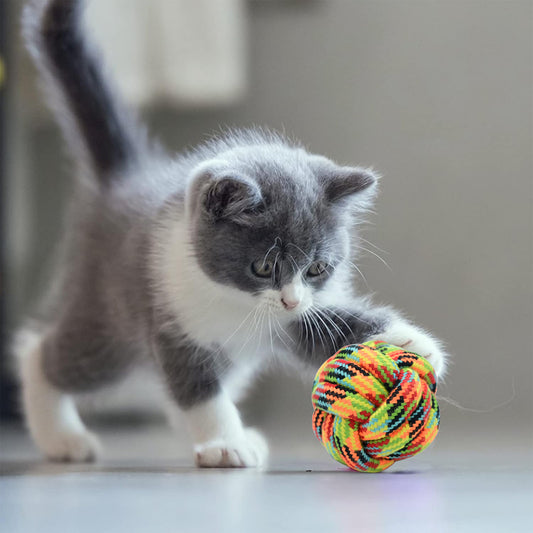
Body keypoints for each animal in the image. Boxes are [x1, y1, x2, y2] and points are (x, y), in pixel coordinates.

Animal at [16, 0, 446, 466]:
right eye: (262, 267)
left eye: (317, 269)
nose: (289, 299)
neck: (238, 304)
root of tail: (128, 178)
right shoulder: (172, 320)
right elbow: (198, 388)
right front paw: (224, 442)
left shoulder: (298, 318)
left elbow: (333, 327)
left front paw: (413, 344)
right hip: (109, 319)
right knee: (43, 352)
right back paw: (61, 436)